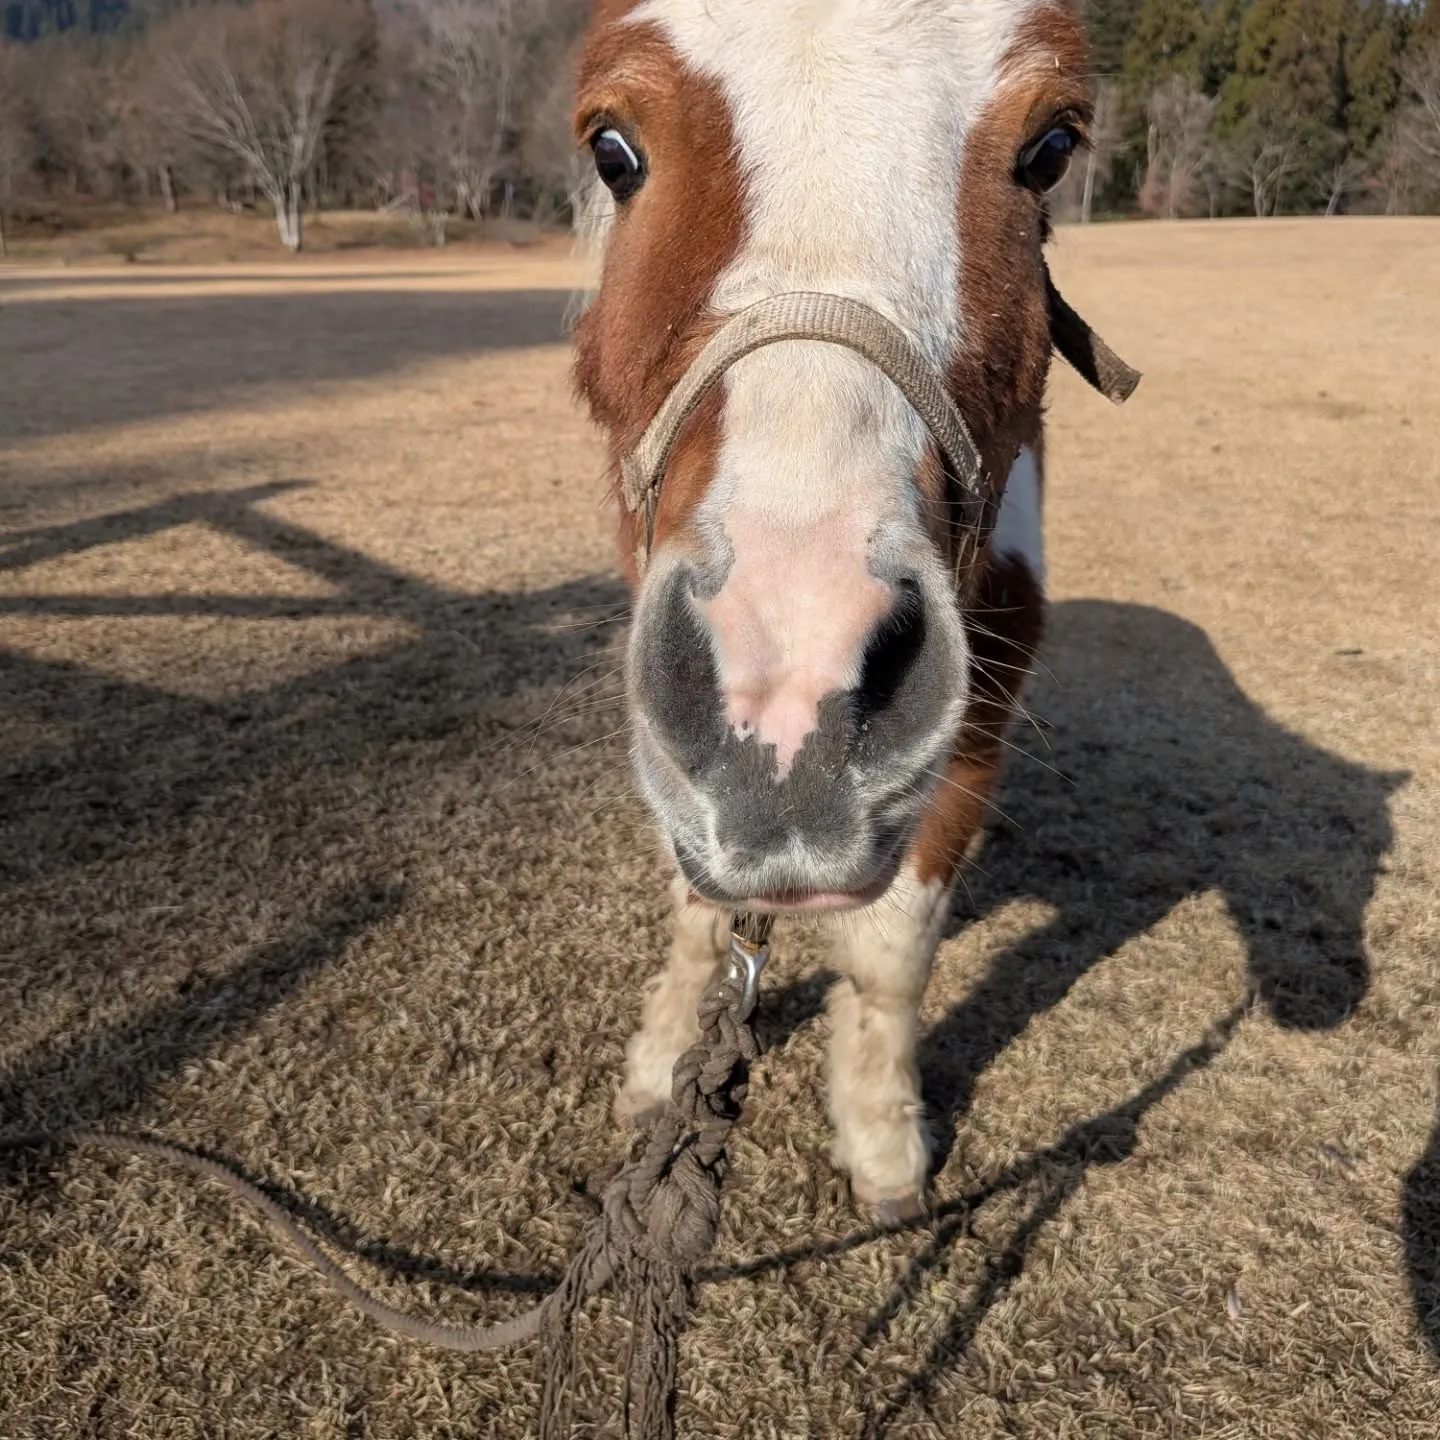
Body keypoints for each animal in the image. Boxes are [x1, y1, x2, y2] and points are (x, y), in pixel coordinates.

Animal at [570, 0, 1126, 1220]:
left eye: (1051, 148)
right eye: (613, 149)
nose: (792, 677)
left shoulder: (974, 736)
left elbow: (890, 956)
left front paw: (882, 1141)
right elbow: (698, 915)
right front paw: (659, 1068)